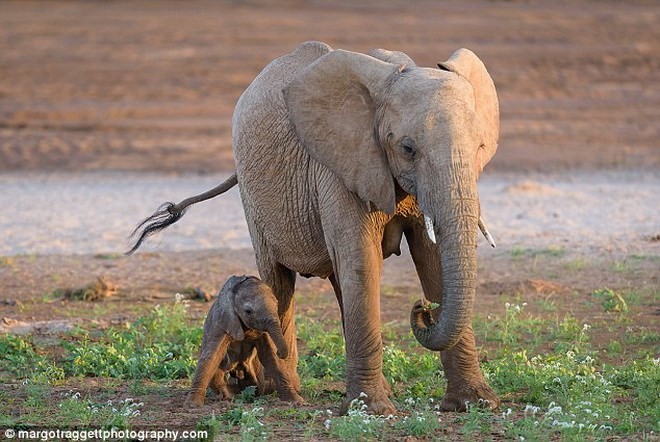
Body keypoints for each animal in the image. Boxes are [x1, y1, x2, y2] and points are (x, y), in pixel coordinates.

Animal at [183, 274, 302, 406]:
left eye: (276, 305)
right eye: (248, 311)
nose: (280, 352)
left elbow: (270, 356)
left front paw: (296, 401)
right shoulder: (222, 322)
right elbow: (211, 356)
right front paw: (192, 405)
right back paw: (229, 395)